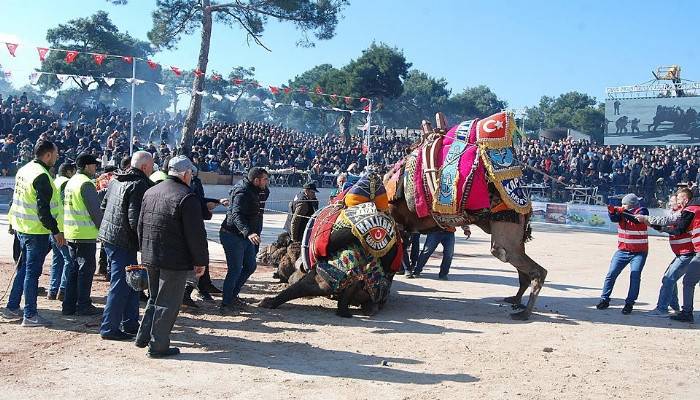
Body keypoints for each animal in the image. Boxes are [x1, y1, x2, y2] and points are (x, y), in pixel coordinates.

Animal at [386, 112, 548, 322]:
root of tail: (526, 204)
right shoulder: (403, 227)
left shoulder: (398, 223)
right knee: (520, 265)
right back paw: (515, 300)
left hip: (508, 222)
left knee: (522, 262)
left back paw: (524, 313)